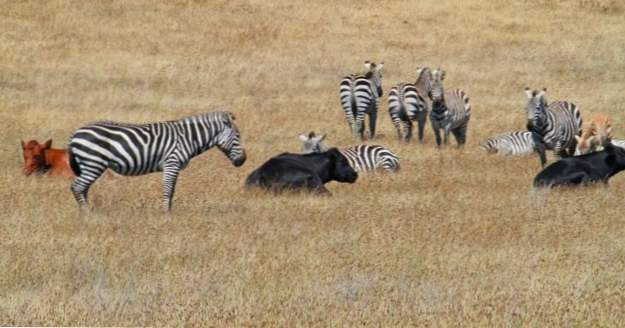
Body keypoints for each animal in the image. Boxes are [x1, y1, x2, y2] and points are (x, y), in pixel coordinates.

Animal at [66, 111, 246, 211]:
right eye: (237, 136)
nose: (243, 160)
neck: (188, 137)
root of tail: (76, 132)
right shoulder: (172, 163)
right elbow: (169, 190)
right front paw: (166, 214)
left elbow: (171, 191)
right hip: (93, 163)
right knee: (77, 187)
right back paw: (87, 214)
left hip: (89, 165)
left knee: (83, 189)